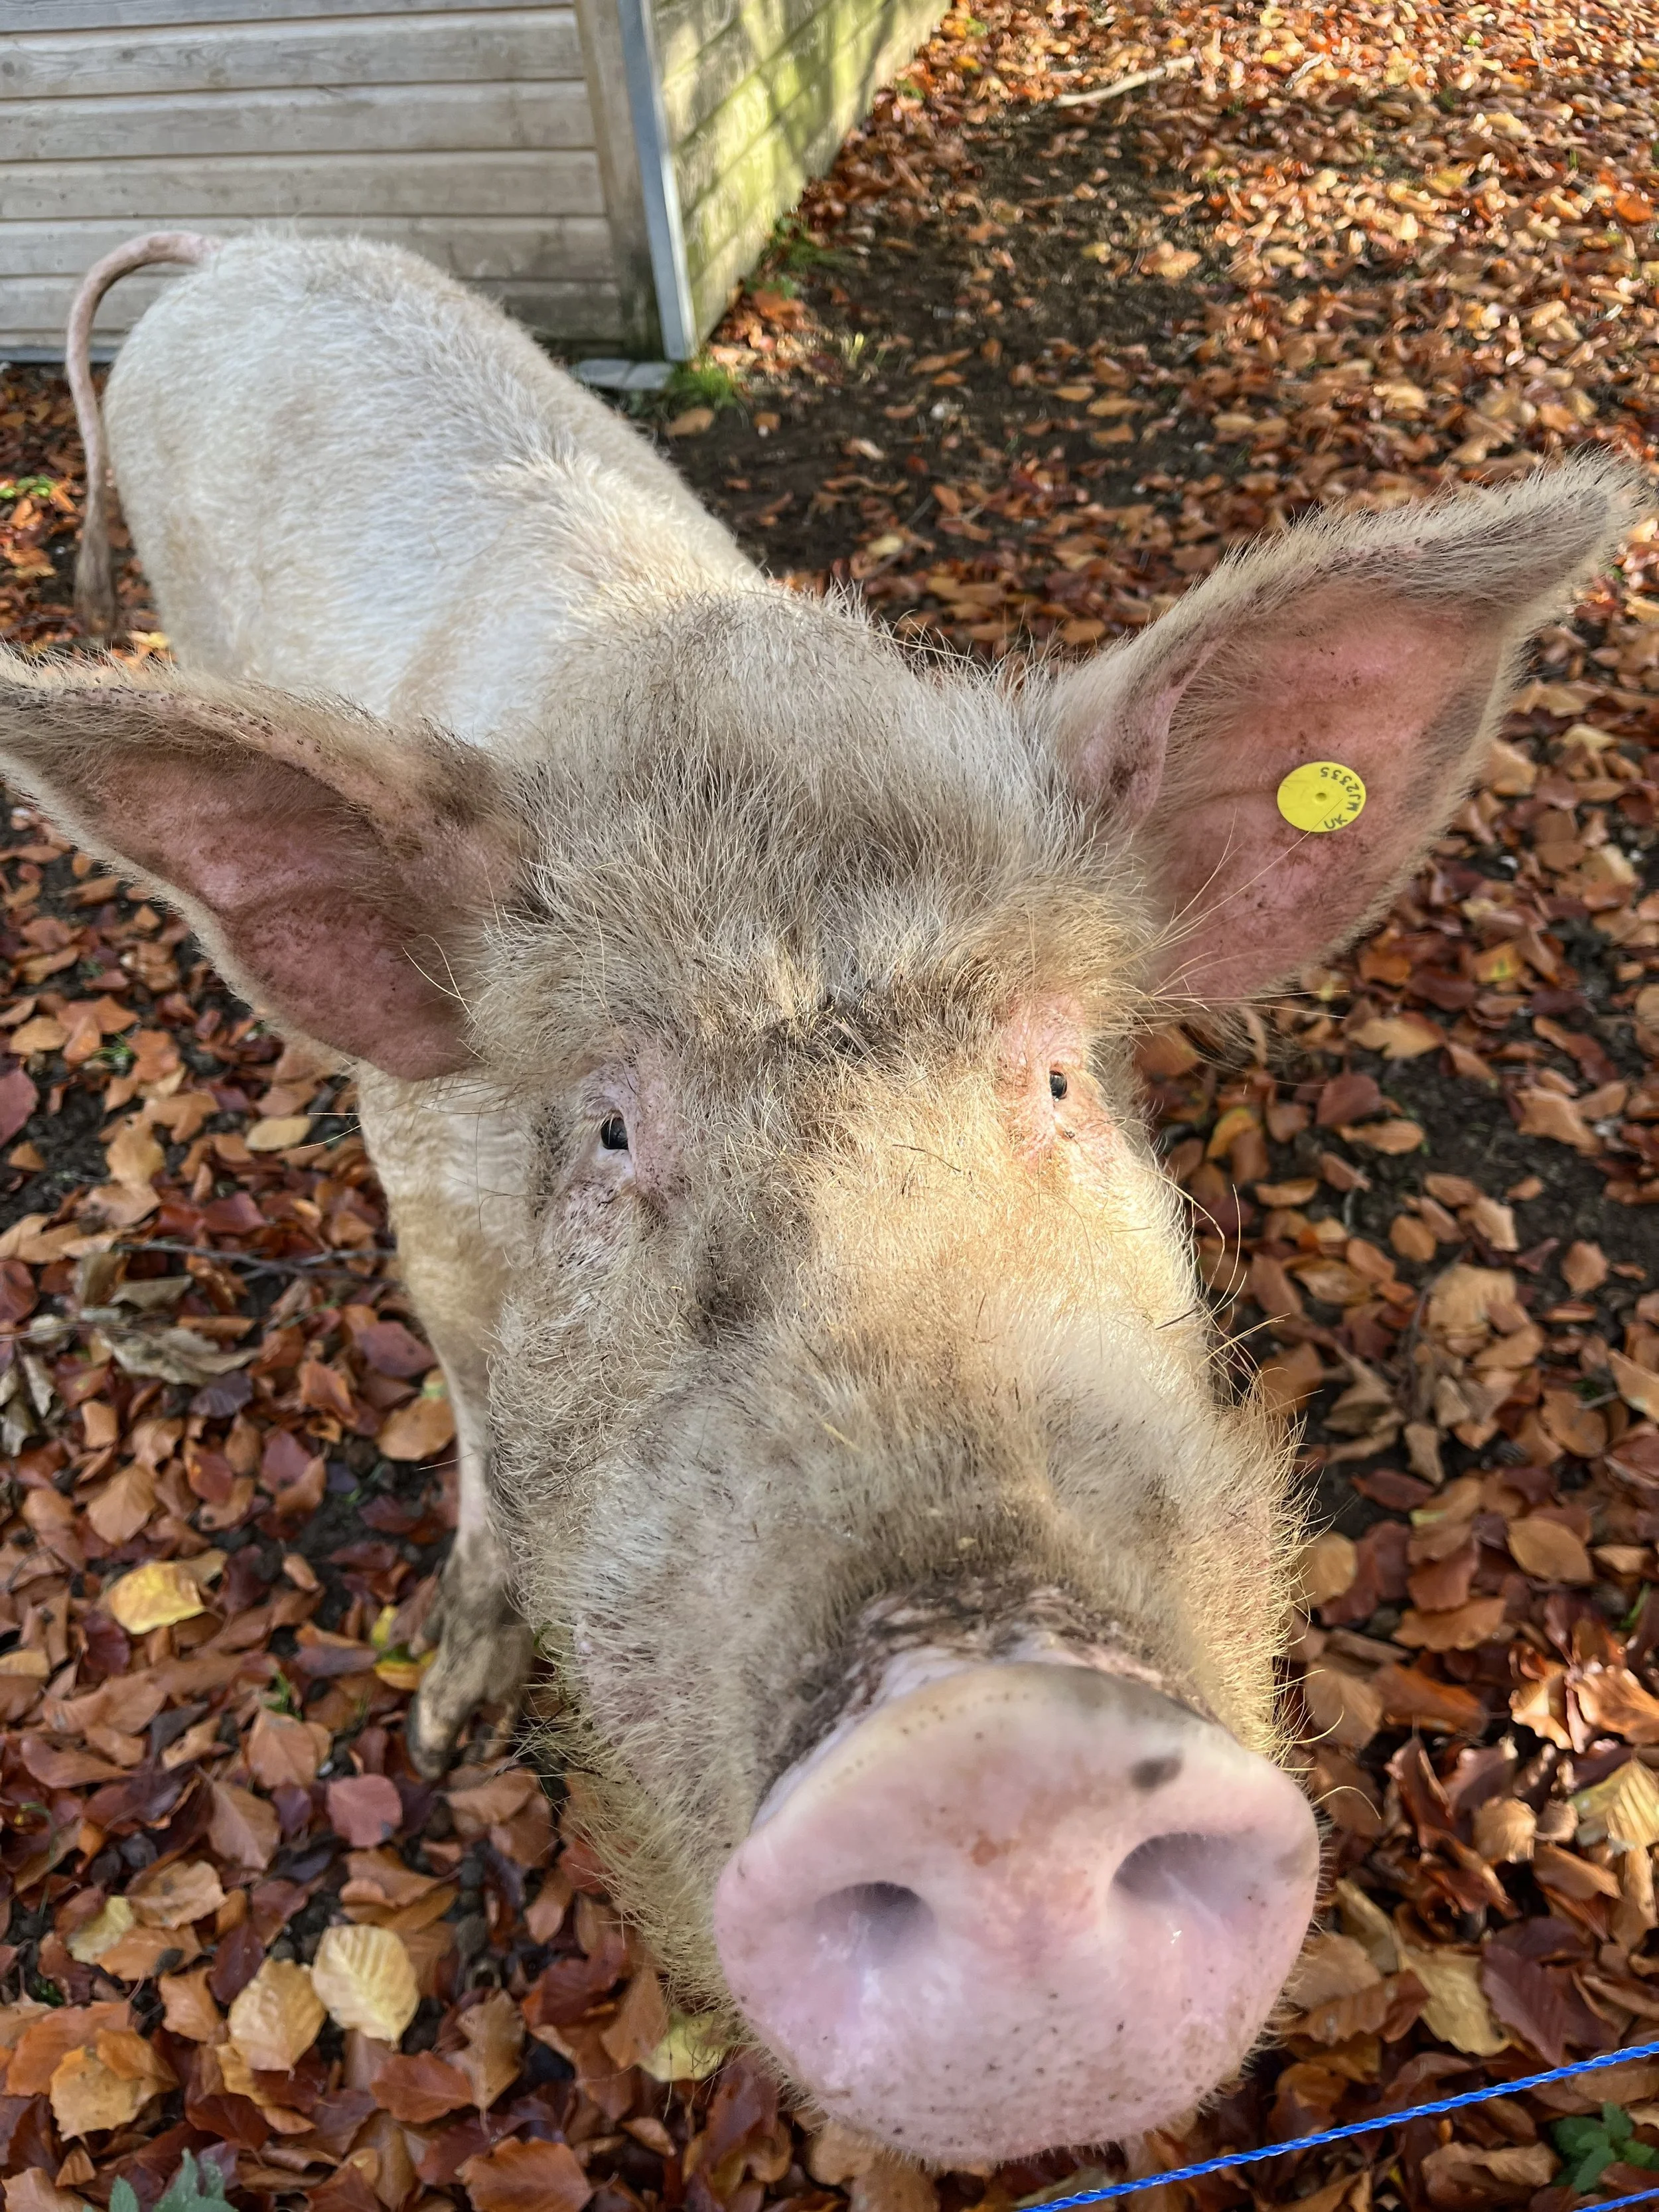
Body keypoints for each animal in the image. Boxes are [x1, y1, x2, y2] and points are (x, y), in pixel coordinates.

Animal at [0, 231, 1636, 2165]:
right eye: (610, 1132)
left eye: (1061, 1078)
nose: (997, 1742)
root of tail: (238, 249)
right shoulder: (429, 1202)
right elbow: (484, 1426)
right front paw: (446, 1716)